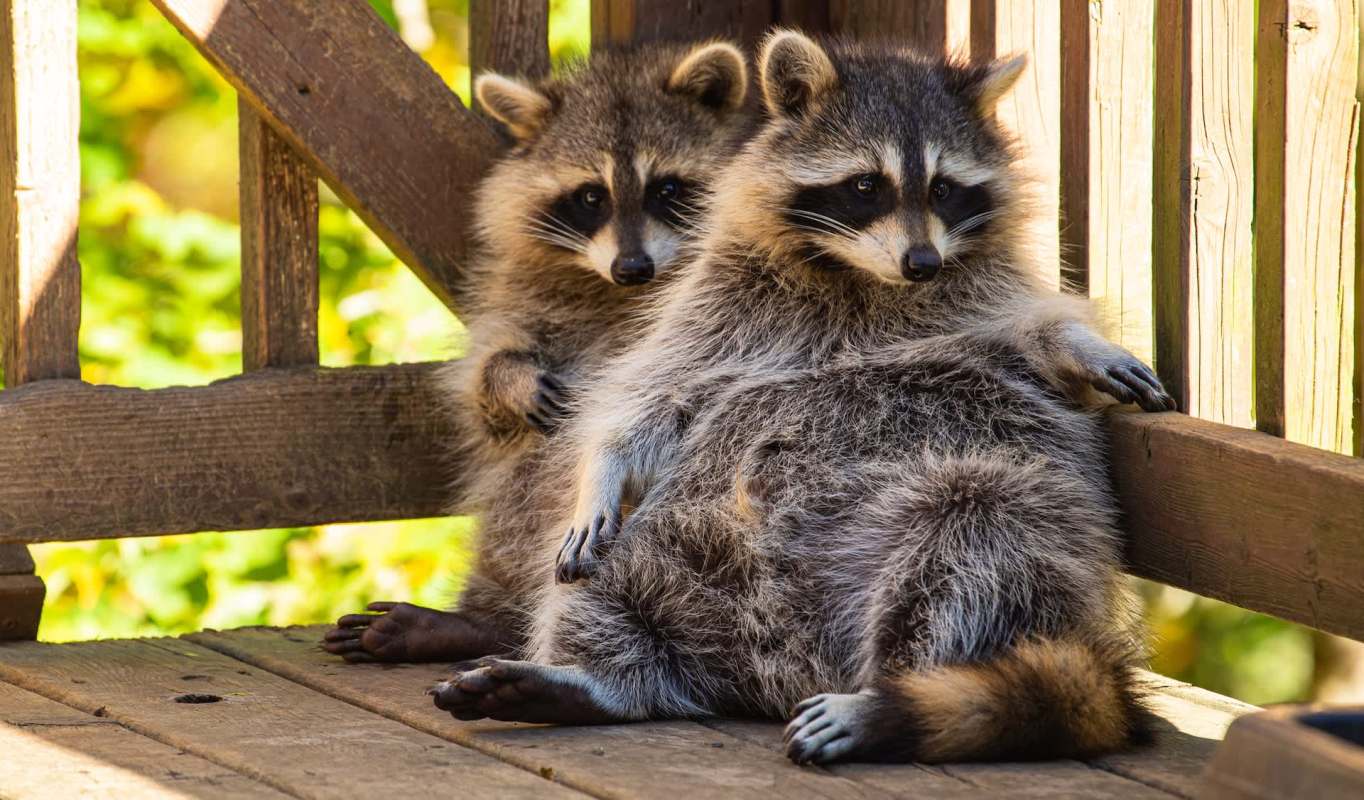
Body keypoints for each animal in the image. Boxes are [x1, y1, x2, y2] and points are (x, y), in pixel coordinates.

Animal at [322, 41, 753, 663]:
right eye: (591, 196)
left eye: (667, 189)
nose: (633, 267)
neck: (615, 291)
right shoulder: (518, 290)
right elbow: (482, 382)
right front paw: (508, 378)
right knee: (518, 487)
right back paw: (484, 616)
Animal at [430, 31, 1158, 765]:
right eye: (866, 186)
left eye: (945, 189)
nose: (922, 263)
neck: (860, 278)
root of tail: (780, 673)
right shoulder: (720, 306)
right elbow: (655, 395)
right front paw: (600, 471)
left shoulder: (984, 301)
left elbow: (1035, 333)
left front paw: (1077, 342)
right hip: (669, 550)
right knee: (607, 587)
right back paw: (606, 680)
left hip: (1007, 519)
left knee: (973, 542)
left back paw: (884, 702)